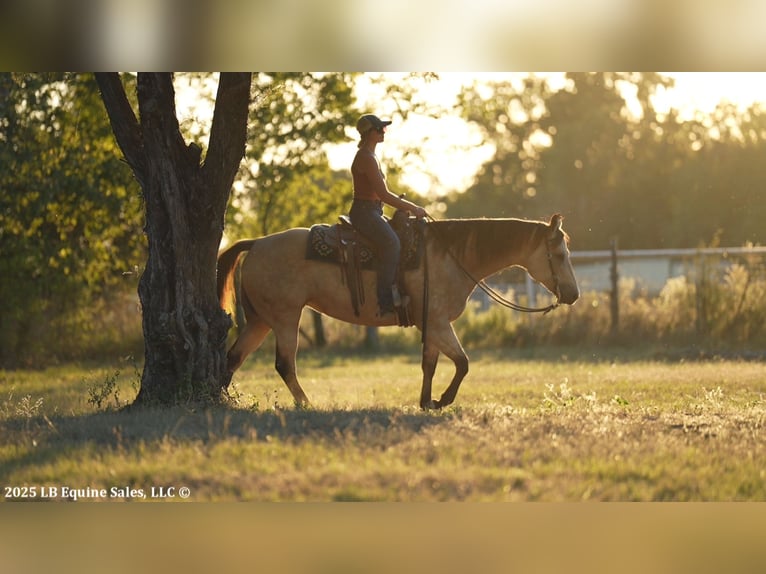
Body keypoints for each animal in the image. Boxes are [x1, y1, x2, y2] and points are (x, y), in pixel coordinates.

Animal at [217, 214, 579, 409]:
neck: (449, 256)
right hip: (285, 318)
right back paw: (306, 404)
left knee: (233, 357)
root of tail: (257, 243)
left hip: (261, 321)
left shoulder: (433, 325)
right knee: (284, 364)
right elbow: (463, 363)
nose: (573, 295)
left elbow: (430, 365)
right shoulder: (437, 322)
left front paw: (426, 401)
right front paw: (443, 400)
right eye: (560, 254)